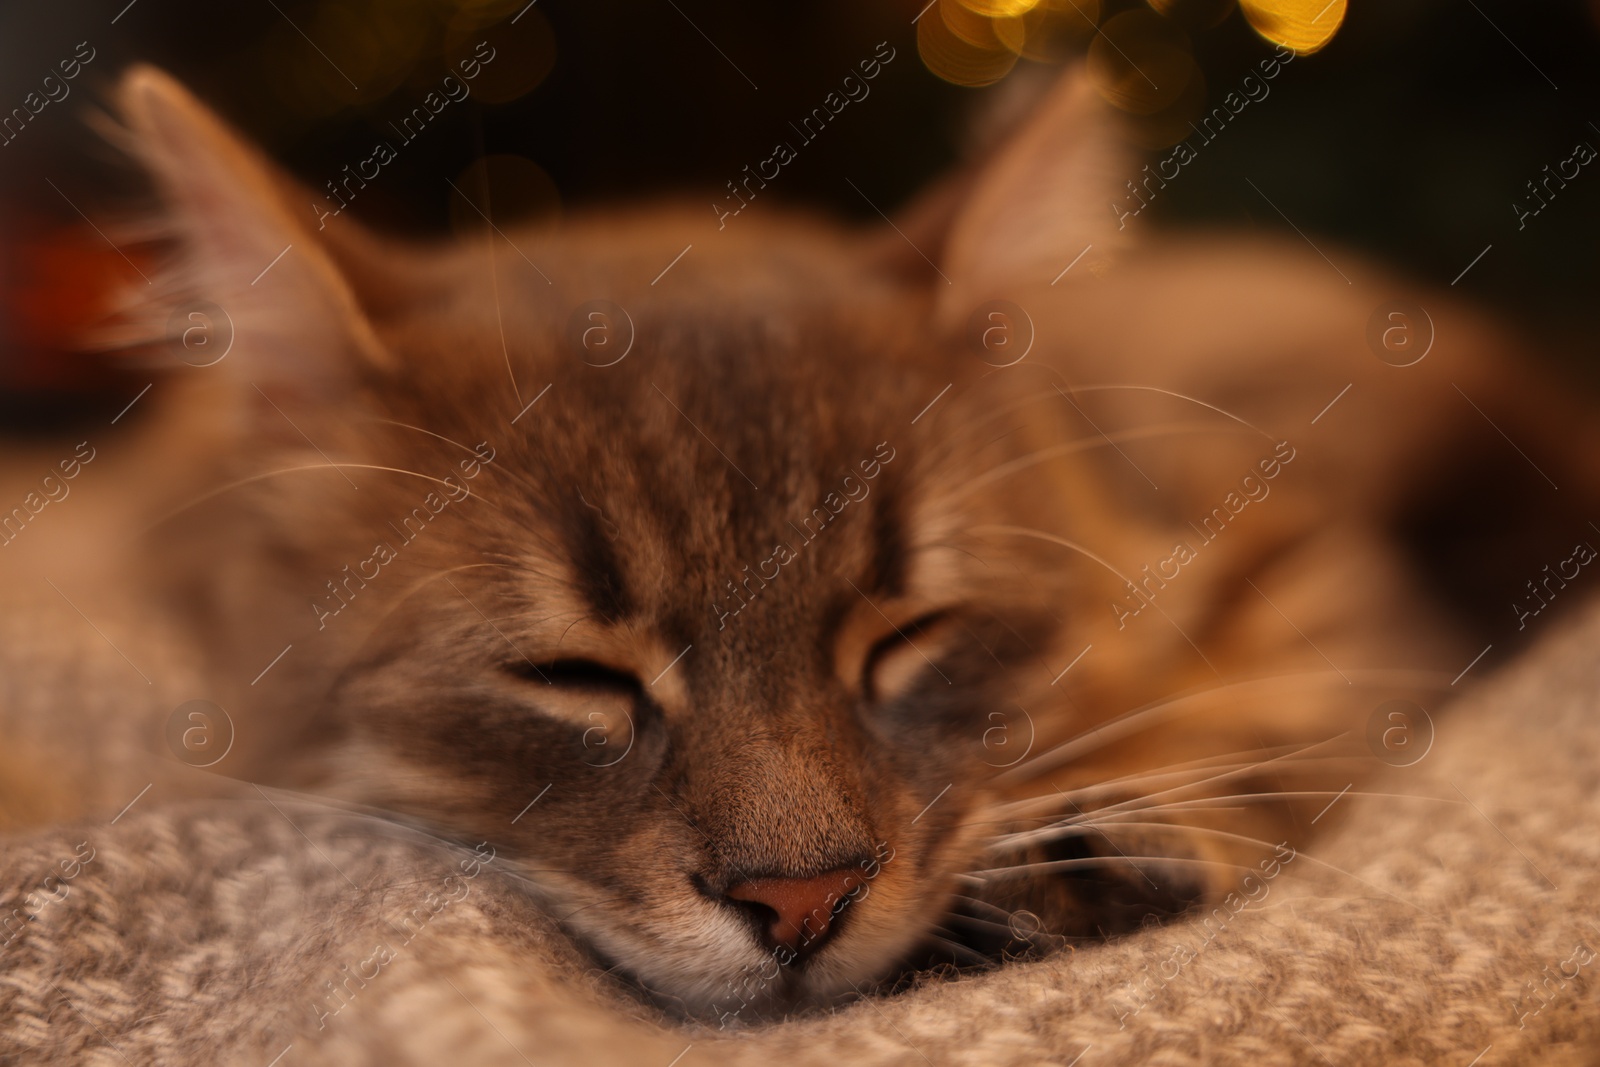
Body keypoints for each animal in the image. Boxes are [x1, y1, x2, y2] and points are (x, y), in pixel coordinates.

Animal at [0, 58, 1593, 1036]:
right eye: (574, 676)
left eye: (907, 634)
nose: (799, 902)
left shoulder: (1330, 584)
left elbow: (1277, 725)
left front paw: (1111, 844)